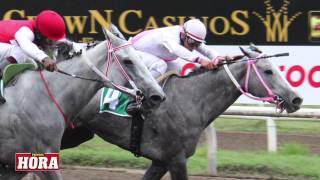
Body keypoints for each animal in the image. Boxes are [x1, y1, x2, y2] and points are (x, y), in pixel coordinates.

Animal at [60, 45, 302, 179]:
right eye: (268, 71)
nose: (296, 99)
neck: (190, 100)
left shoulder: (160, 162)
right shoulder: (176, 158)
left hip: (78, 133)